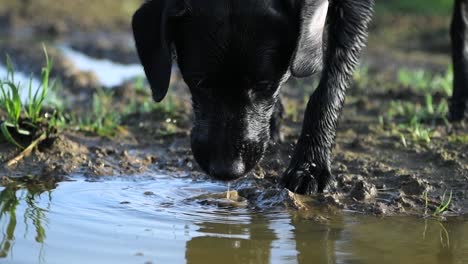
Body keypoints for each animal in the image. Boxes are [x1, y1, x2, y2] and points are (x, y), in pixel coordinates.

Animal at [133, 0, 468, 194]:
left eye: (265, 84)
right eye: (199, 83)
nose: (228, 170)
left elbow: (328, 87)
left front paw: (311, 165)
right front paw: (274, 126)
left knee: (460, 23)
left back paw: (460, 106)